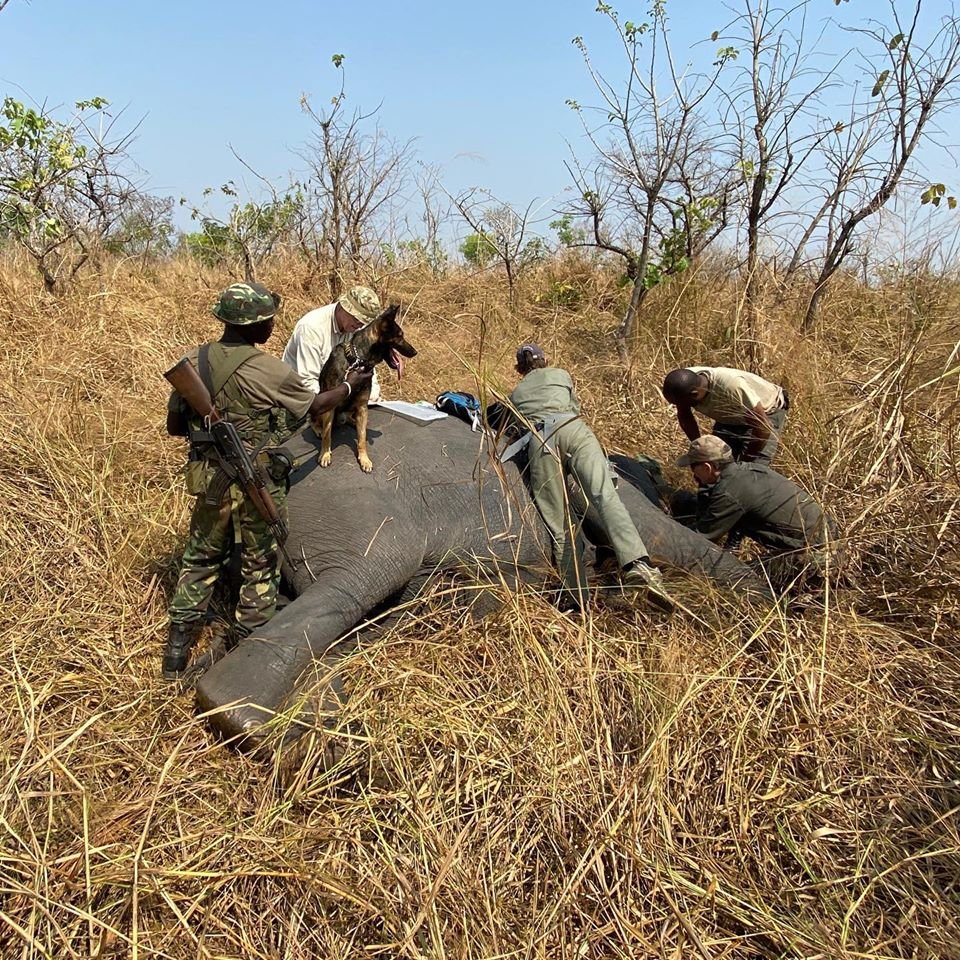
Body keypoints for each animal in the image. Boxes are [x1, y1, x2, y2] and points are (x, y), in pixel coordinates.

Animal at [195, 409, 770, 754]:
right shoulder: (612, 491)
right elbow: (671, 538)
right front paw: (768, 602)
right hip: (347, 499)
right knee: (363, 575)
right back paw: (258, 724)